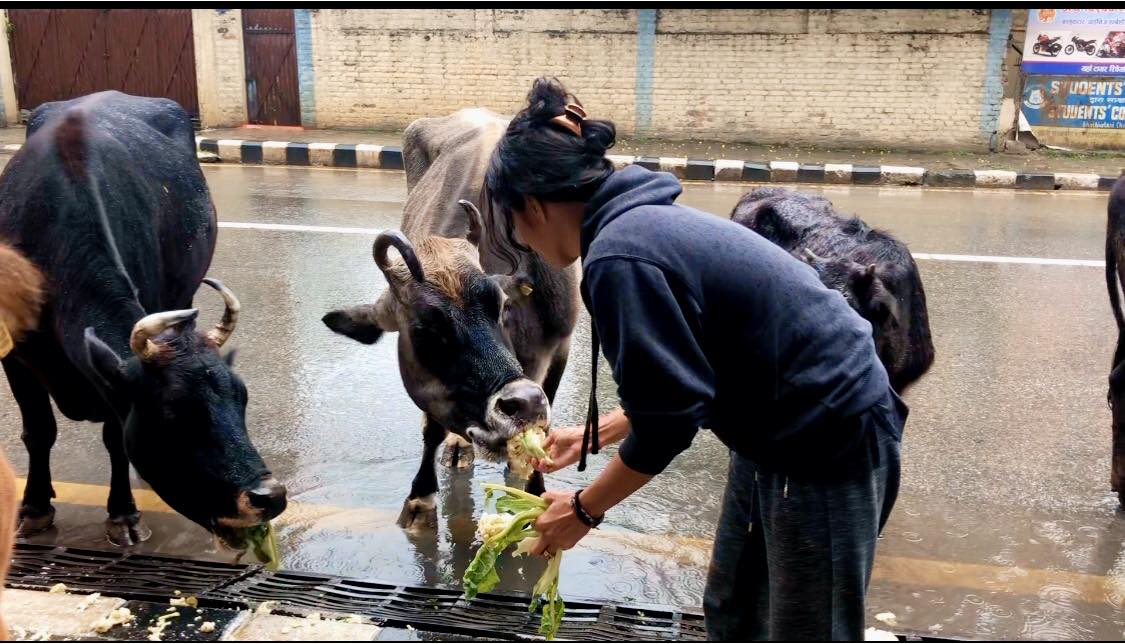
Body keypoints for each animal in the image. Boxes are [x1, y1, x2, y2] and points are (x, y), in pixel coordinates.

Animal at [0, 94, 285, 549]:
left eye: (242, 399)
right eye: (174, 414)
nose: (268, 497)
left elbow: (115, 437)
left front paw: (123, 513)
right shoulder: (14, 352)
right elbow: (39, 431)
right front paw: (35, 508)